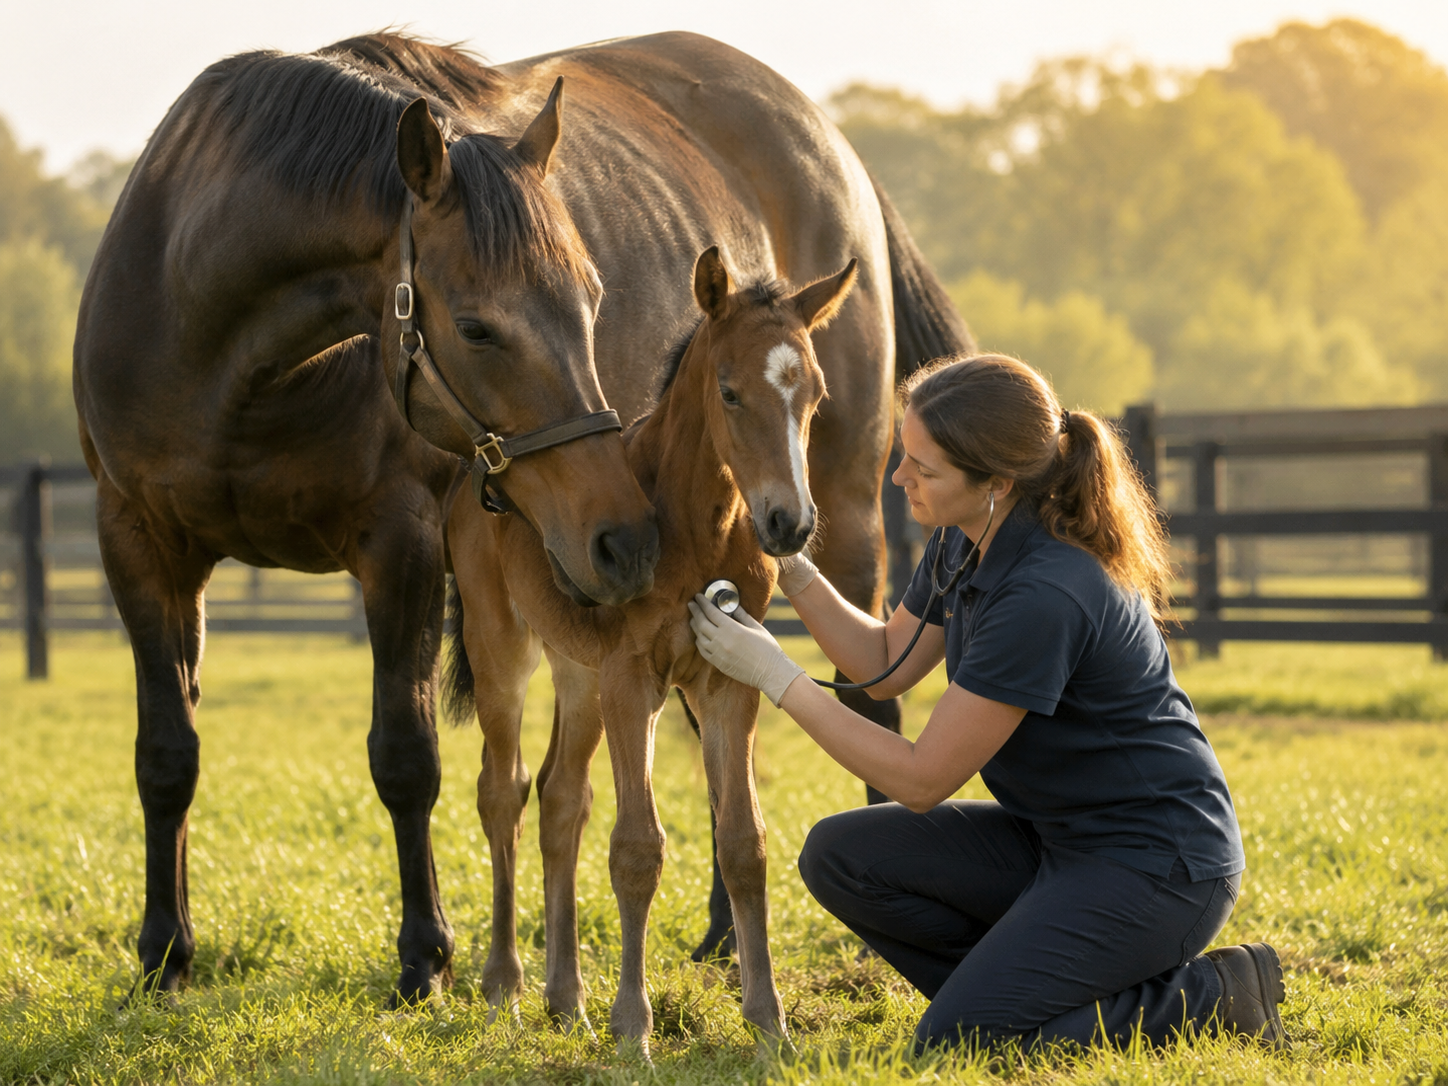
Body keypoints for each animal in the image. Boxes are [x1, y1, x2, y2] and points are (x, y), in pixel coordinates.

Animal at [73, 38, 661, 1005]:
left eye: (592, 296)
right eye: (477, 328)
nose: (626, 538)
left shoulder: (402, 547)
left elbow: (406, 757)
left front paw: (425, 956)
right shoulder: (138, 545)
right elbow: (166, 753)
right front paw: (164, 952)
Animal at [447, 246, 857, 1048]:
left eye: (816, 395)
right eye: (729, 391)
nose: (790, 524)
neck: (697, 526)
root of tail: (478, 467)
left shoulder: (726, 682)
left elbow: (743, 844)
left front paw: (769, 1024)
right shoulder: (634, 680)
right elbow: (637, 848)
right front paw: (634, 1027)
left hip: (580, 675)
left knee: (561, 798)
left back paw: (565, 997)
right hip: (502, 648)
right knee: (502, 791)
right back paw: (504, 985)